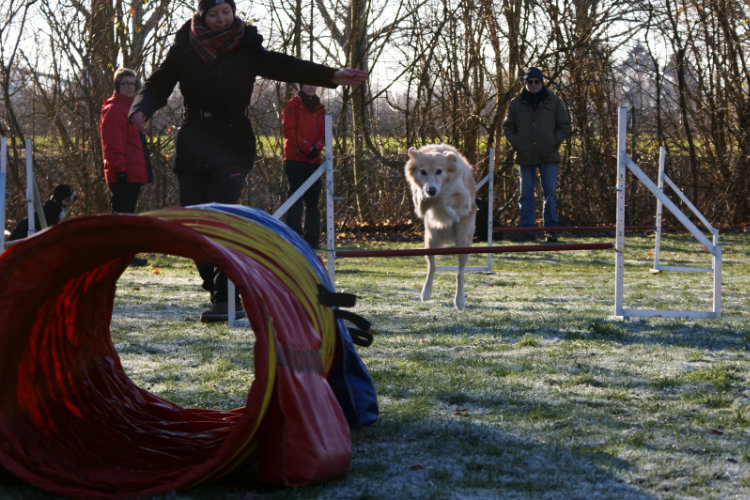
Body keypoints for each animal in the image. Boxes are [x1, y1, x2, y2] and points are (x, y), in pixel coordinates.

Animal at [406, 143, 476, 310]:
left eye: (439, 171)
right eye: (423, 172)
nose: (431, 190)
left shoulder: (464, 199)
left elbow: (445, 200)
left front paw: (450, 212)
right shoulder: (419, 204)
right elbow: (421, 199)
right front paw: (425, 195)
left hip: (463, 243)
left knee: (460, 273)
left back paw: (459, 300)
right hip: (430, 241)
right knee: (432, 267)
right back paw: (426, 292)